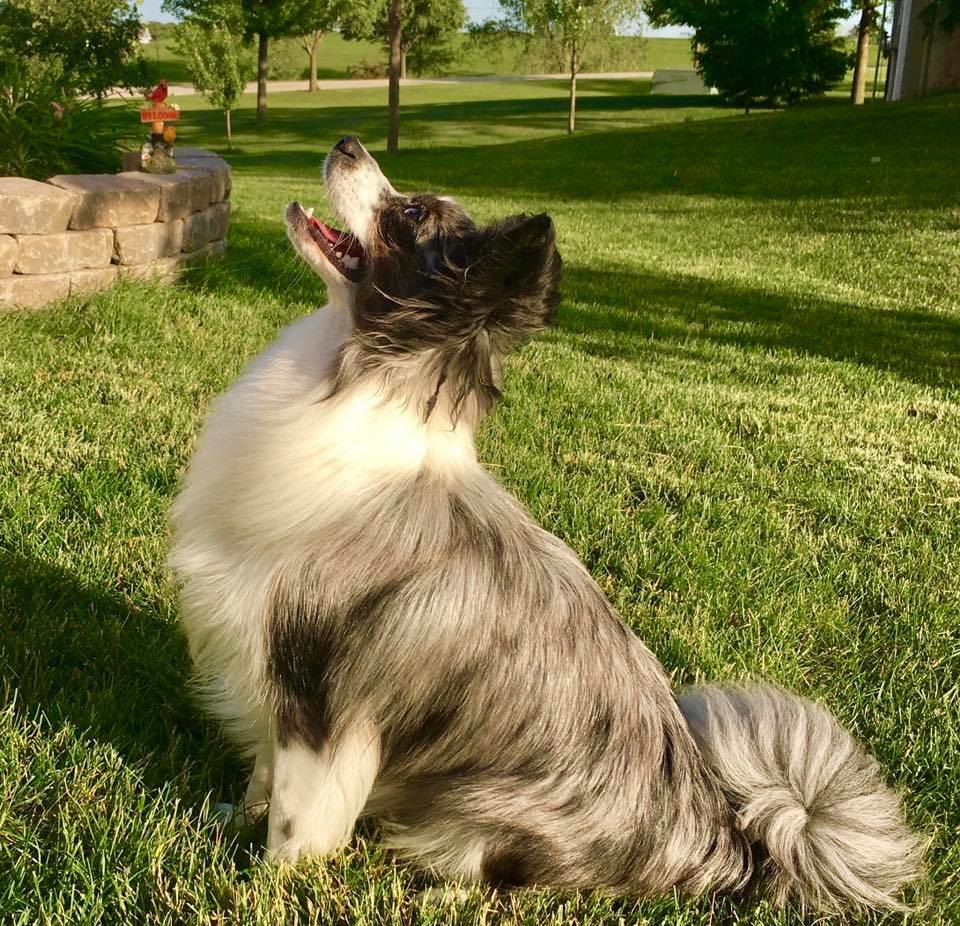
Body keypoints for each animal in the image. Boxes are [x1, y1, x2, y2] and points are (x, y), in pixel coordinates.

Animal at [169, 136, 920, 913]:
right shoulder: (266, 668)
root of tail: (725, 844)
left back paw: (441, 894)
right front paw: (233, 819)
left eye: (411, 214)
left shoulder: (317, 696)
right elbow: (263, 777)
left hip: (486, 808)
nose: (348, 143)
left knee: (500, 875)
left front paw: (261, 887)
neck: (354, 375)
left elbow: (295, 822)